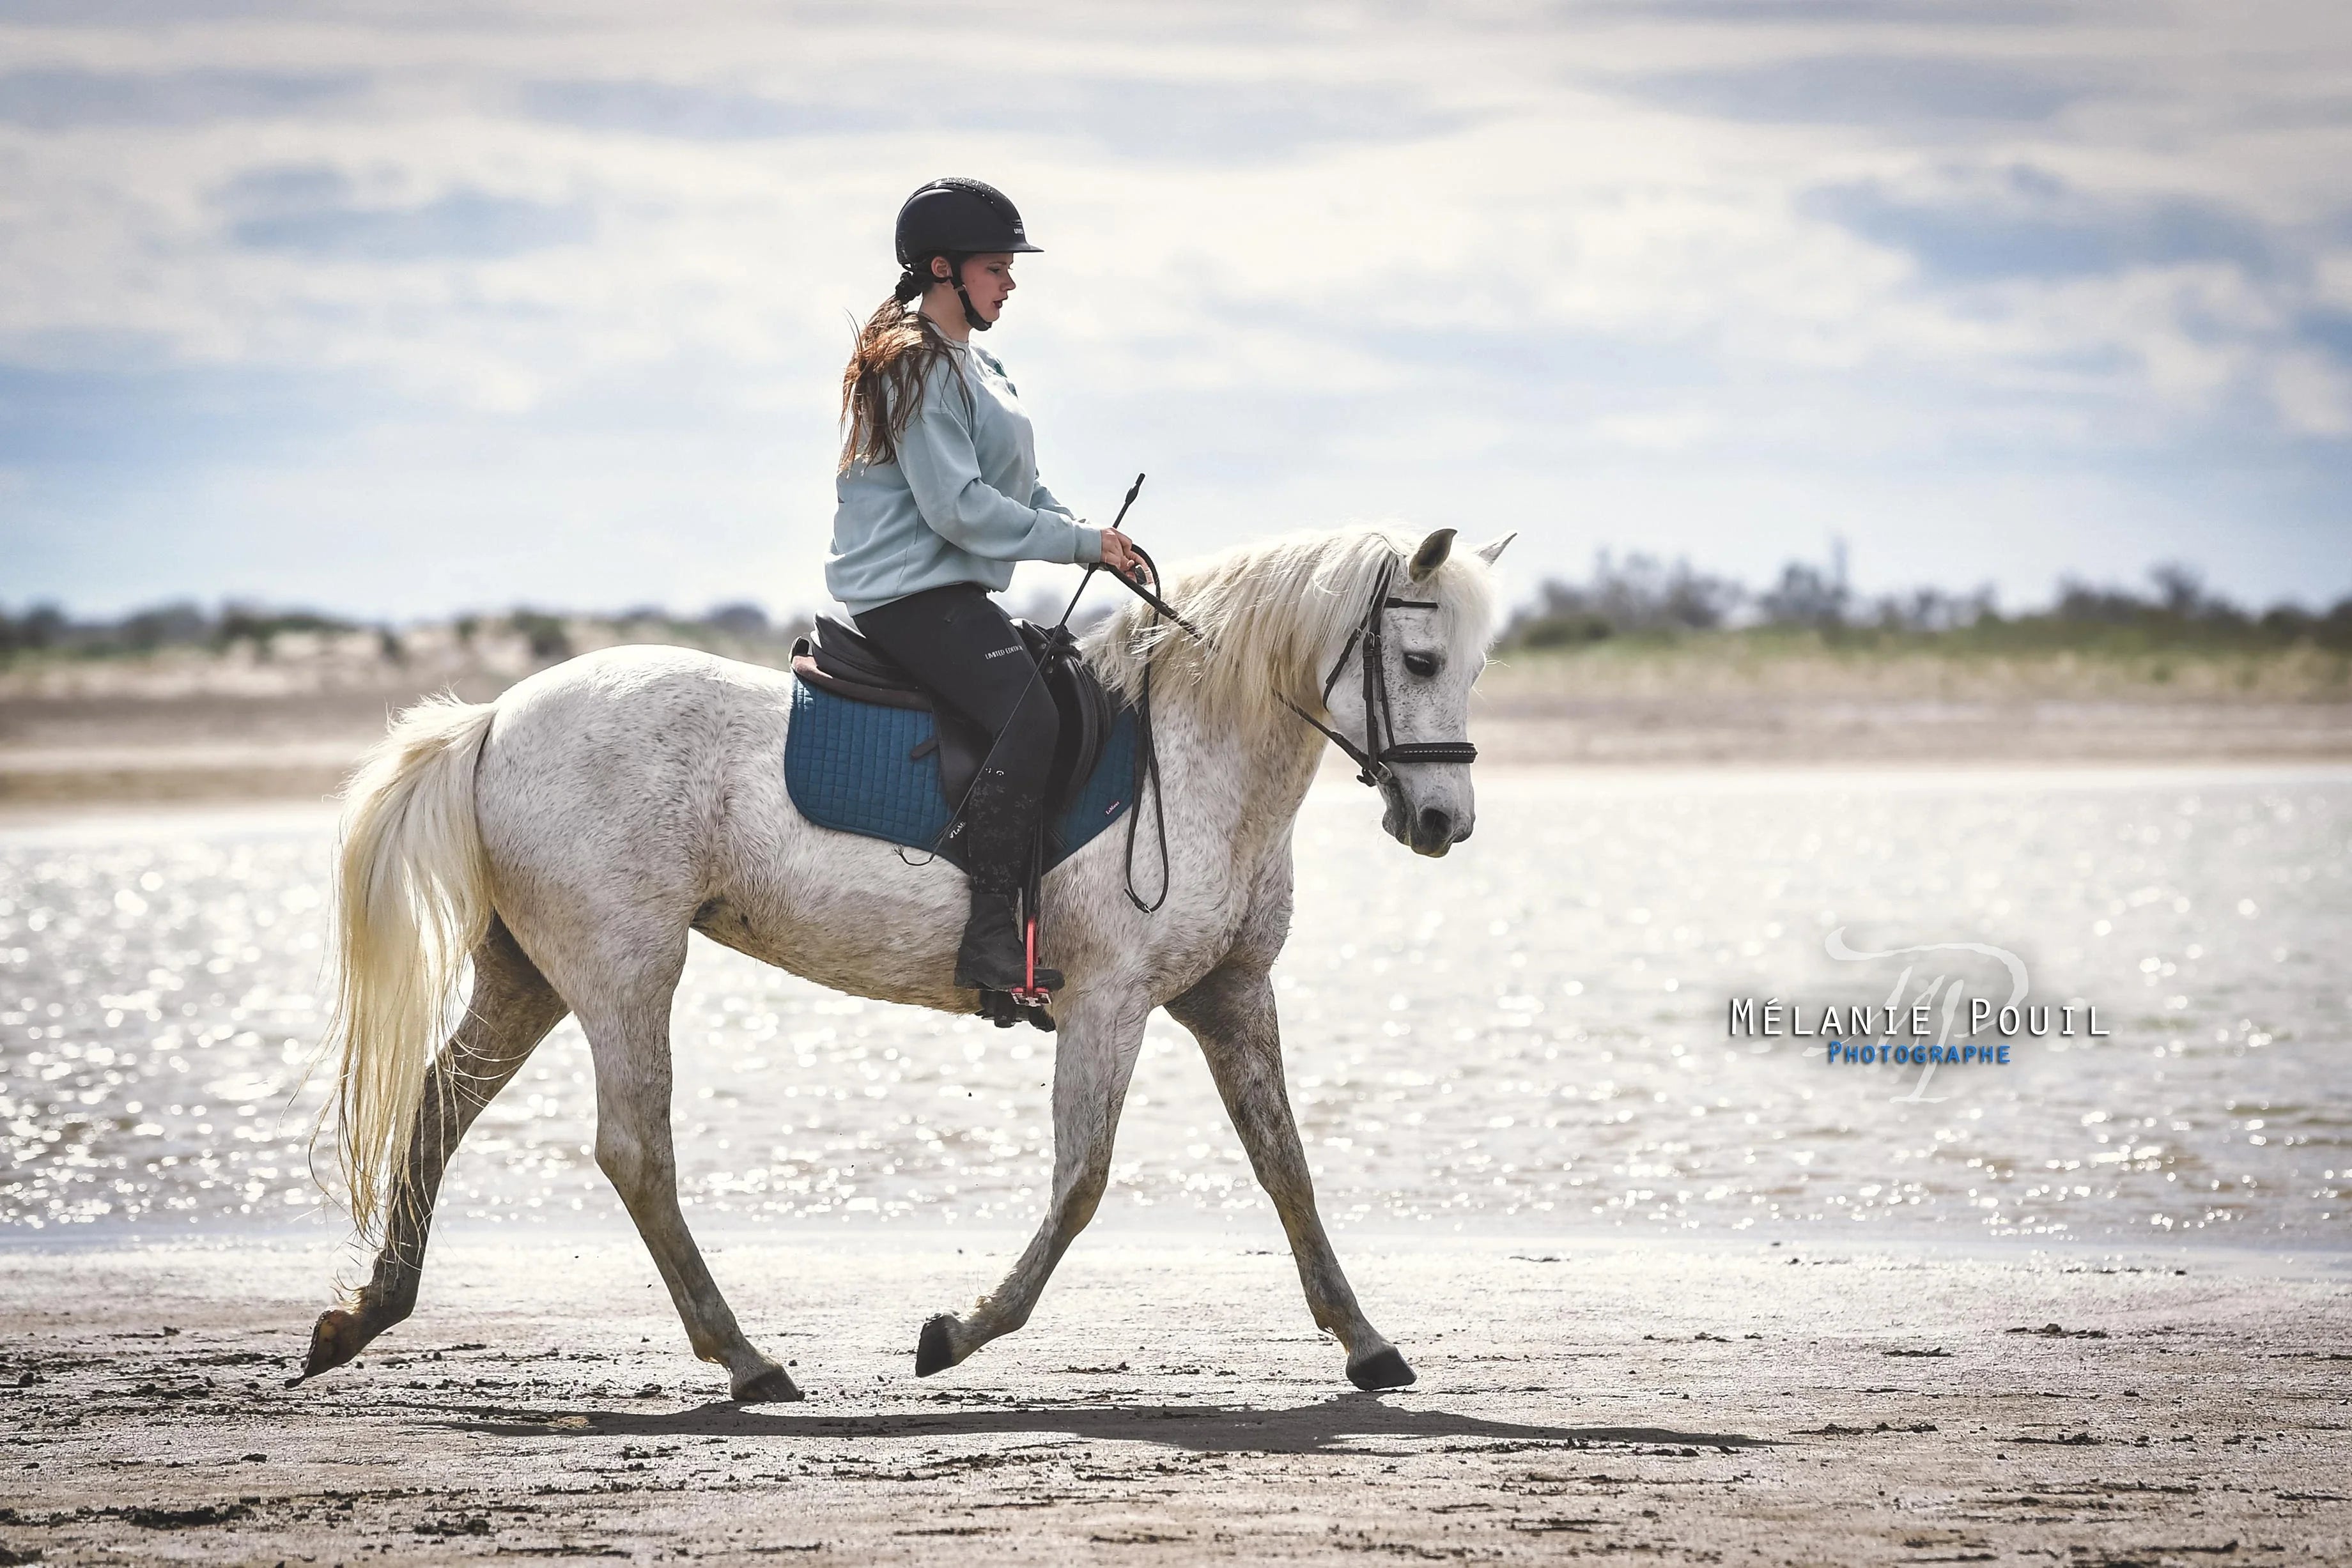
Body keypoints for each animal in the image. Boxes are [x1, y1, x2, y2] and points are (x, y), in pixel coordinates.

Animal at [301, 523, 1510, 1401]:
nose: (1445, 821)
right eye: (1419, 659)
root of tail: (498, 715)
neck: (1191, 756)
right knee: (634, 1151)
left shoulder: (1230, 996)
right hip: (622, 969)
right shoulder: (1111, 1002)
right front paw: (957, 1333)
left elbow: (1287, 1168)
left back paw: (363, 1315)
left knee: (440, 1105)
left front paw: (1367, 1342)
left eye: (1474, 667)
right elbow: (1082, 1182)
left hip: (532, 972)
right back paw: (748, 1359)